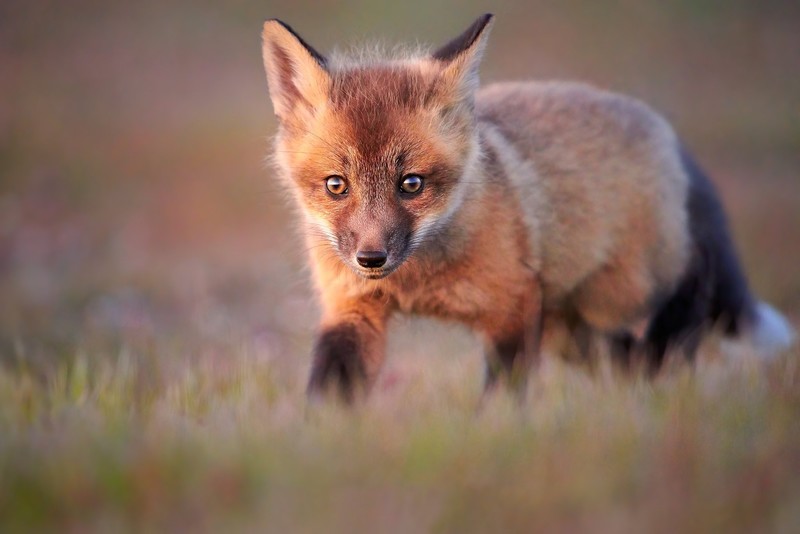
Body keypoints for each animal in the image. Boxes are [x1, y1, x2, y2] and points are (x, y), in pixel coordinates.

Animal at [260, 14, 795, 402]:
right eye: (336, 185)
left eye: (411, 184)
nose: (370, 259)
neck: (418, 285)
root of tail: (668, 135)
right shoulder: (352, 308)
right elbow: (330, 394)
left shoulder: (514, 305)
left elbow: (502, 397)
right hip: (571, 330)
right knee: (622, 356)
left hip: (623, 295)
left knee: (690, 294)